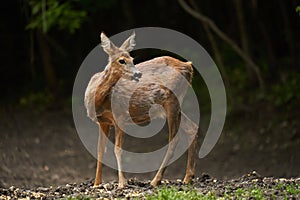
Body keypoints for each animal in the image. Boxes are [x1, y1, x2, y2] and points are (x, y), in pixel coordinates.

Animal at [84, 31, 198, 188]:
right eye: (121, 60)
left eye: (132, 59)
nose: (138, 74)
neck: (98, 100)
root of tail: (188, 66)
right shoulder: (103, 121)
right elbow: (100, 150)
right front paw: (96, 183)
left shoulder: (120, 115)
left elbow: (117, 149)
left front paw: (122, 183)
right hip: (173, 105)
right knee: (192, 127)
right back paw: (187, 178)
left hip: (171, 100)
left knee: (174, 139)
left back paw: (156, 180)